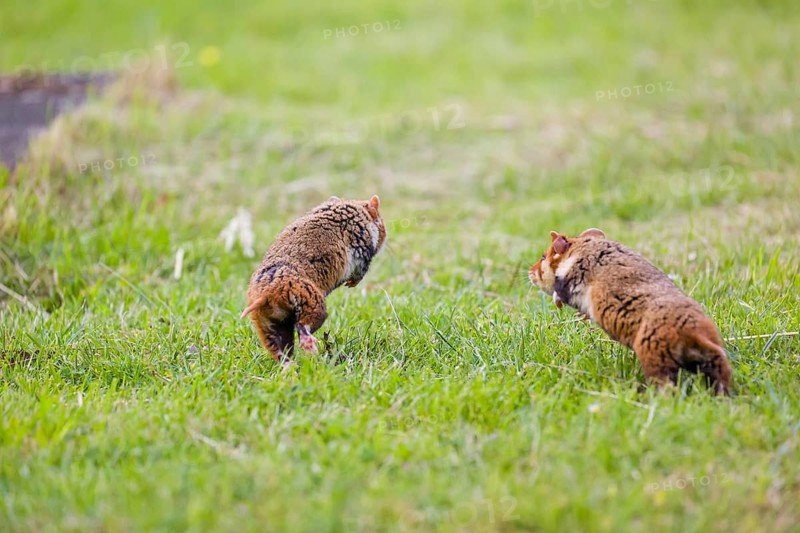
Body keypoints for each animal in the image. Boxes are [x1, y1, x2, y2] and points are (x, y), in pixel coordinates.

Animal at [241, 195, 387, 364]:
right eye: (380, 220)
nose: (386, 235)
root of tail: (266, 295)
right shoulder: (362, 250)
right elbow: (359, 273)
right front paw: (351, 284)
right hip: (311, 302)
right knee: (303, 326)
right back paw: (310, 346)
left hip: (269, 324)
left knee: (282, 350)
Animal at [529, 228, 732, 395]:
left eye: (543, 257)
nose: (529, 273)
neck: (583, 247)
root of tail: (695, 333)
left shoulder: (573, 277)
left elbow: (560, 292)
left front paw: (560, 303)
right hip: (707, 357)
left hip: (654, 355)